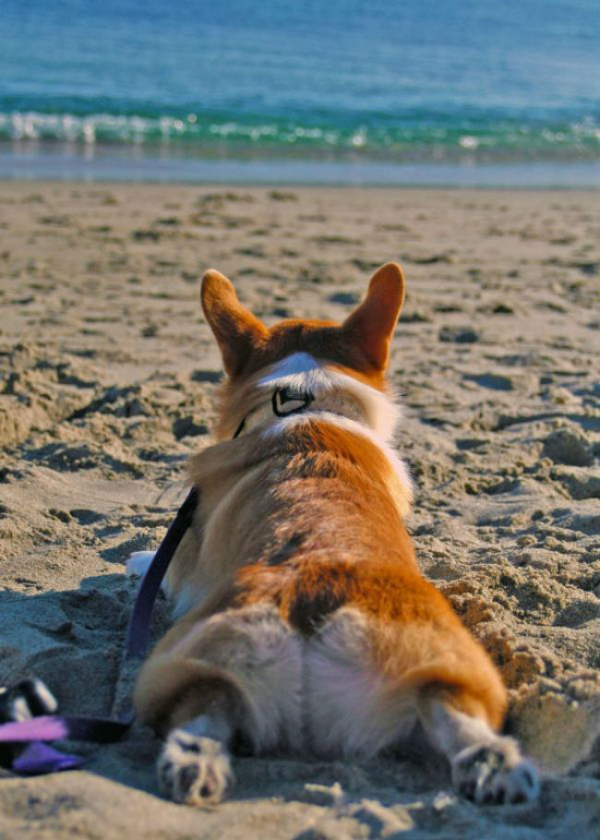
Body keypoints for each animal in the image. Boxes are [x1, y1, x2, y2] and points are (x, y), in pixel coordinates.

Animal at [127, 264, 540, 808]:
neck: (304, 403)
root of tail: (314, 589)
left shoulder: (188, 559)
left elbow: (162, 563)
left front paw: (136, 560)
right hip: (449, 669)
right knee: (451, 711)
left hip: (170, 664)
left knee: (202, 704)